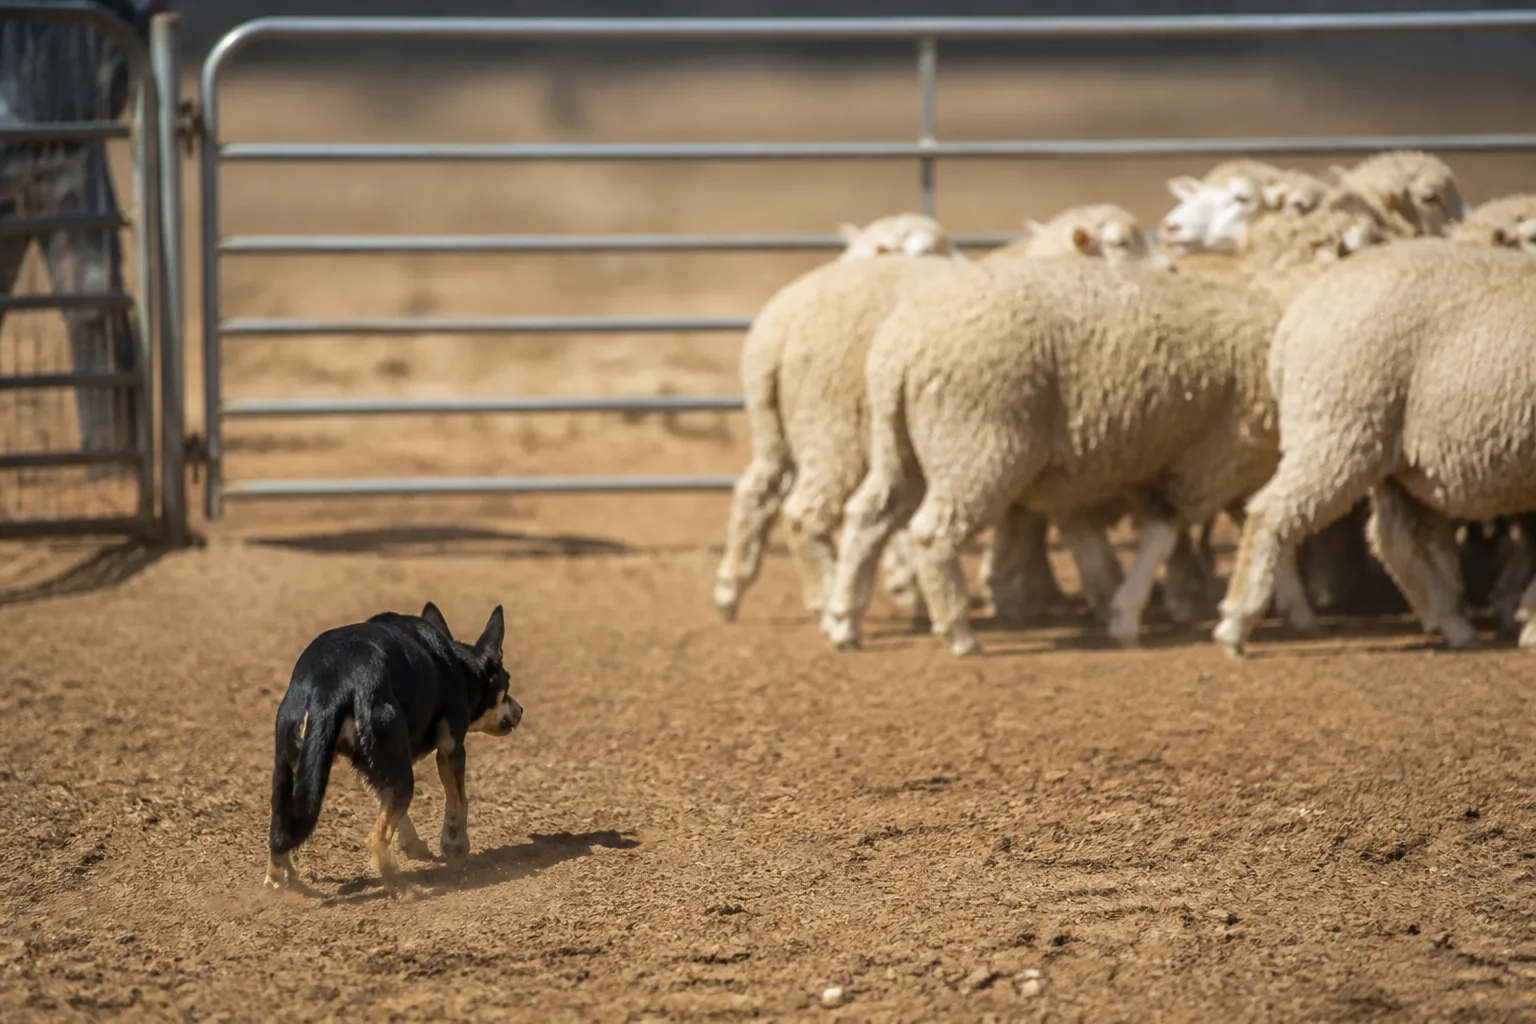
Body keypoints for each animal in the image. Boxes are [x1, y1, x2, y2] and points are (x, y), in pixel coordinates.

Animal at [819, 190, 1396, 657]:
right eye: (1120, 242)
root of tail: (902, 349)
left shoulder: (1242, 462)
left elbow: (1269, 533)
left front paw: (1294, 609)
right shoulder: (1220, 451)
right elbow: (1170, 526)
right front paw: (1128, 614)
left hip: (903, 450)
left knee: (867, 516)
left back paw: (845, 621)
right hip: (979, 444)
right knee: (931, 533)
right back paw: (959, 633)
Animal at [1214, 238, 1536, 656]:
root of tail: (1293, 321)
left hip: (1391, 453)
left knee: (1392, 537)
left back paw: (1452, 623)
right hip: (1340, 431)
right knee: (1271, 512)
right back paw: (1237, 623)